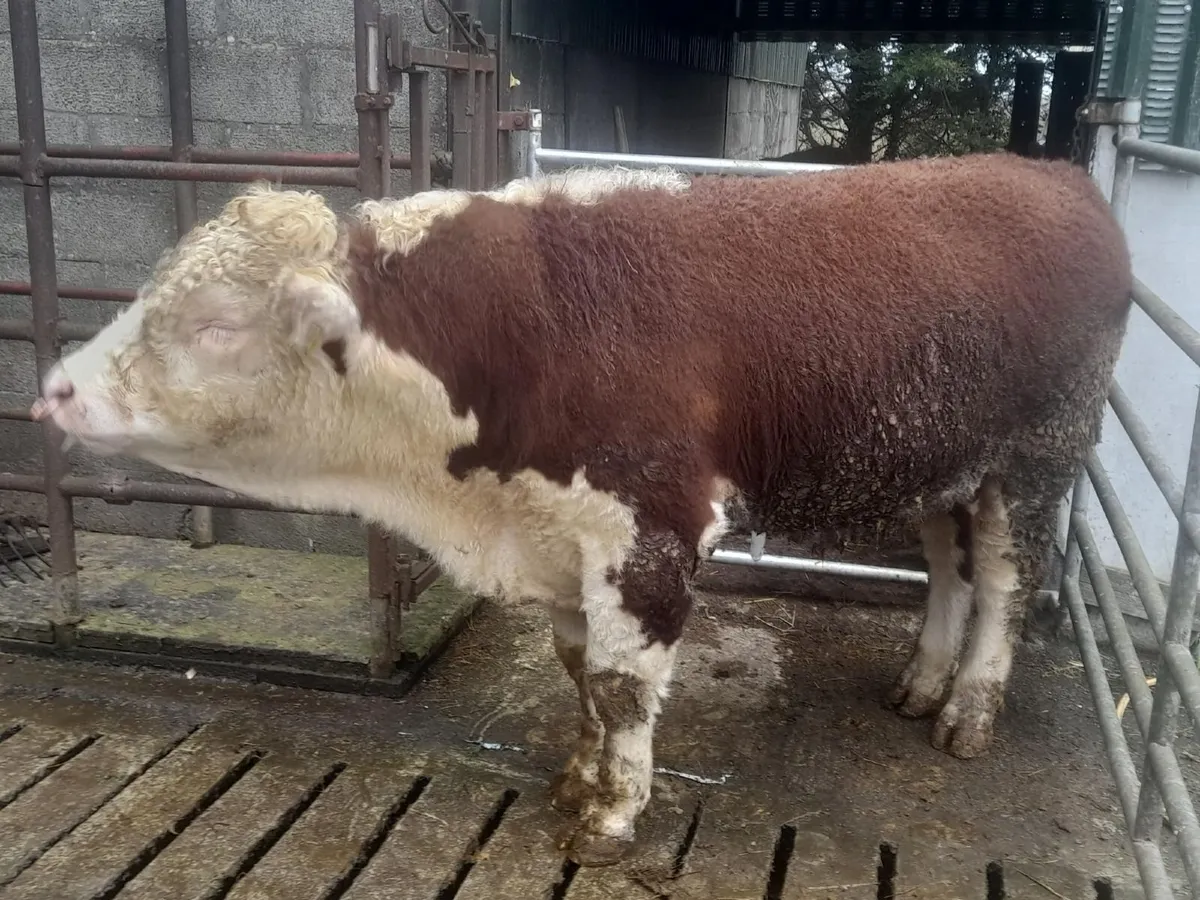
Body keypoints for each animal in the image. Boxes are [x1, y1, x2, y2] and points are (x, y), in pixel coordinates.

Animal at [31, 152, 1133, 866]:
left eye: (217, 325)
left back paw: (970, 707)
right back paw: (921, 679)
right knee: (948, 564)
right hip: (940, 463)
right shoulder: (557, 535)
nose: (54, 388)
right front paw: (580, 778)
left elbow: (621, 686)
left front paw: (613, 818)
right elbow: (578, 672)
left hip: (1034, 460)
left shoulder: (650, 532)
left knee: (1005, 581)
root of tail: (1053, 174)